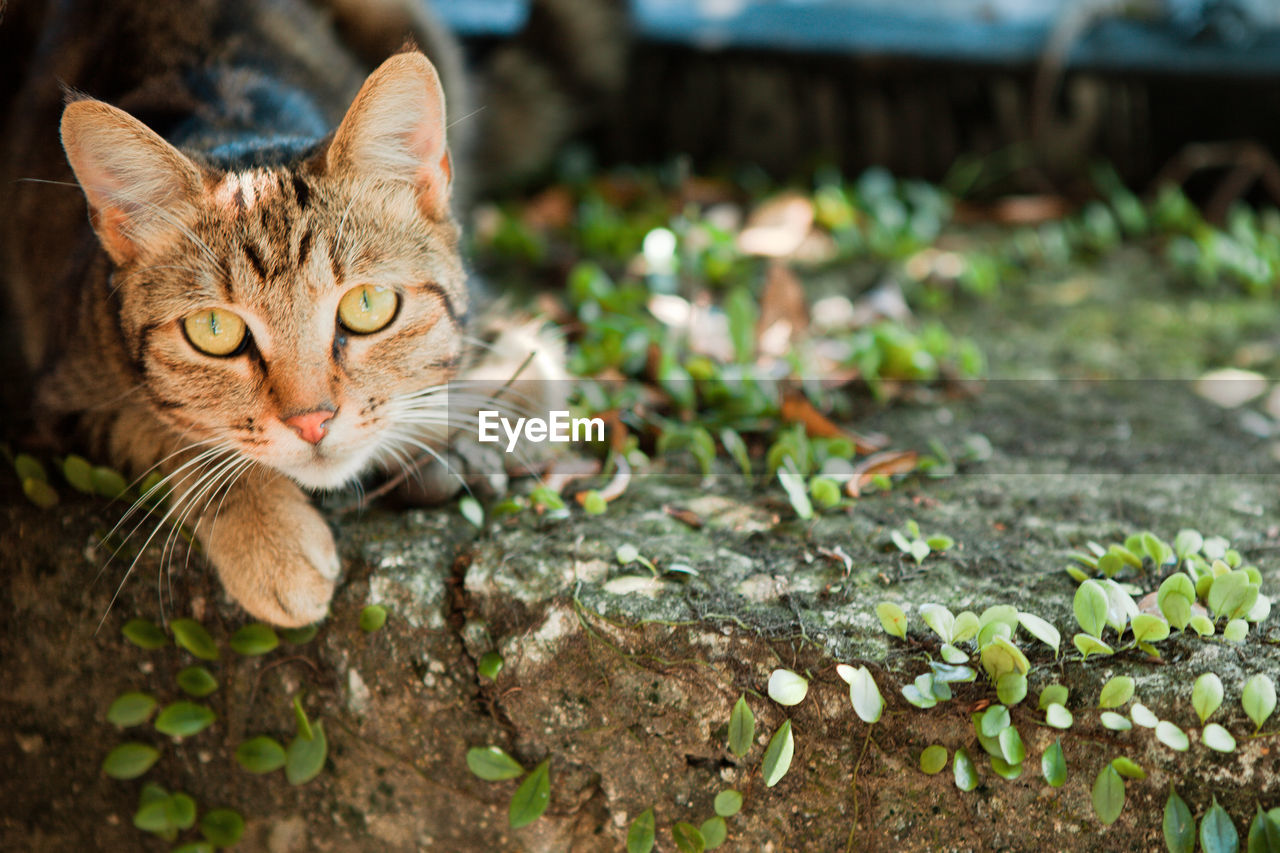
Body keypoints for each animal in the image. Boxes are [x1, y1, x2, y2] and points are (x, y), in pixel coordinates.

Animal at [1, 0, 560, 625]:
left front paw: (464, 435)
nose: (312, 422)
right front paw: (269, 538)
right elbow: (164, 431)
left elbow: (525, 375)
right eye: (214, 331)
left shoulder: (507, 324)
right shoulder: (60, 401)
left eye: (368, 306)